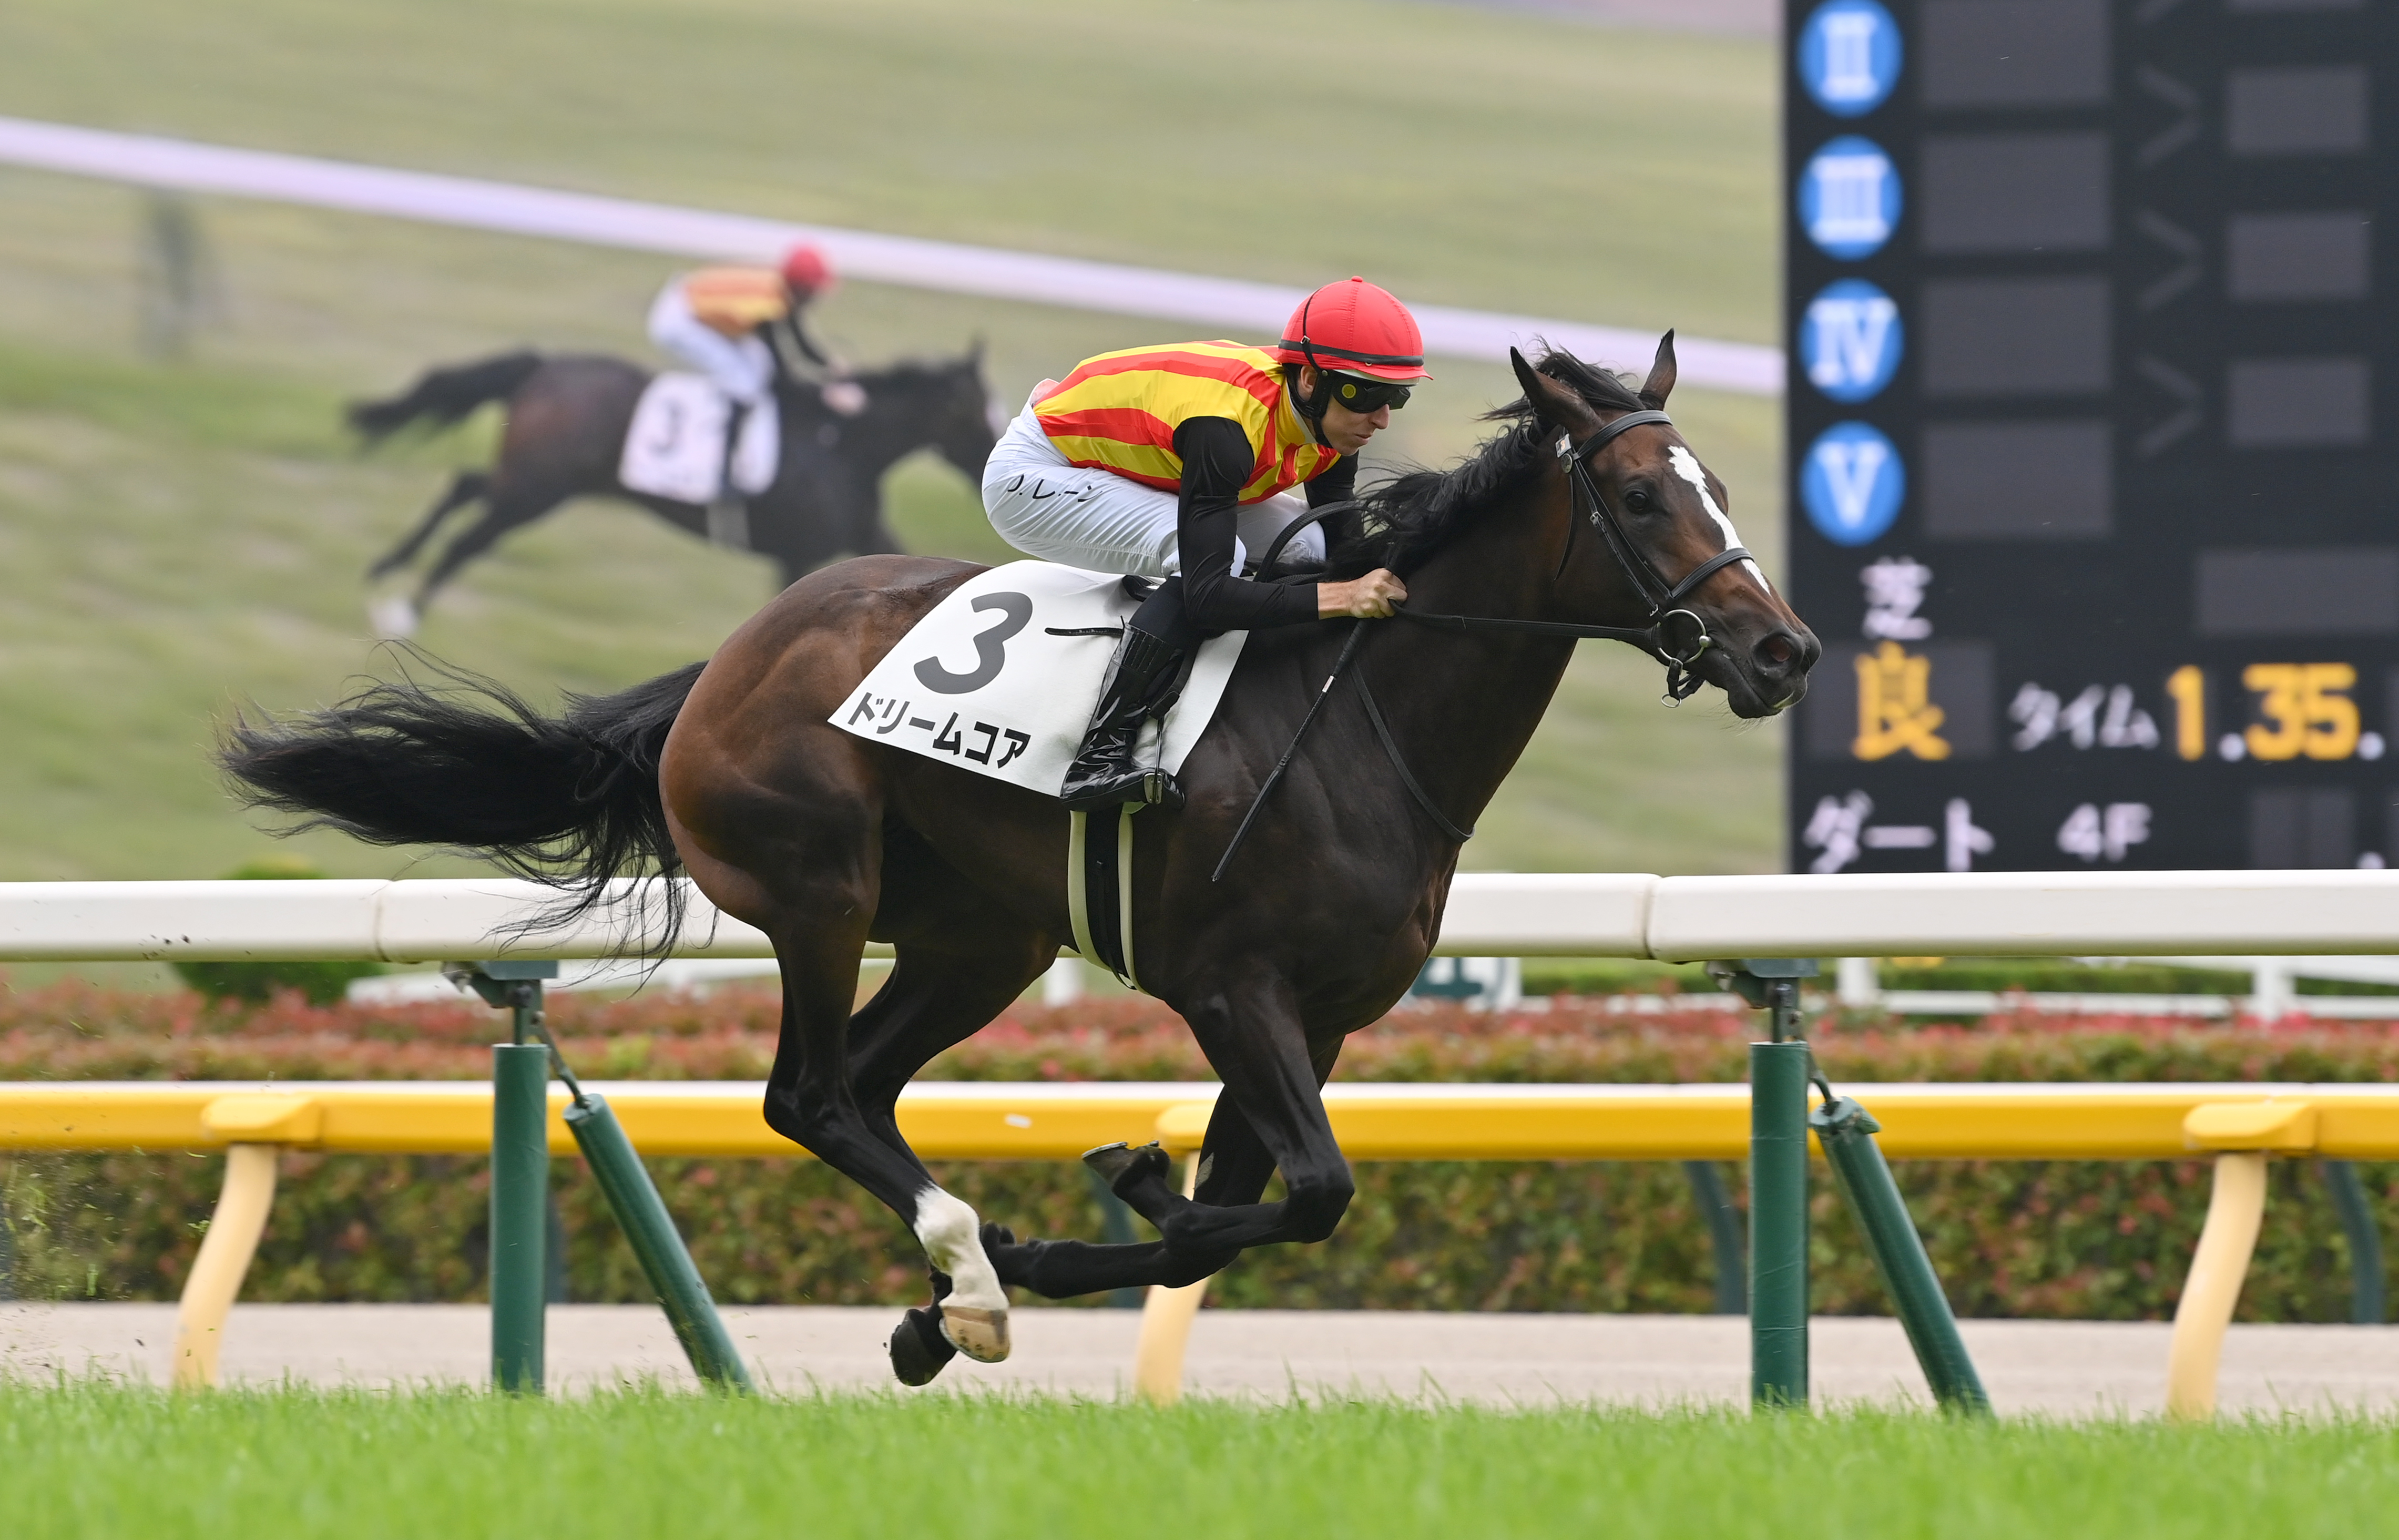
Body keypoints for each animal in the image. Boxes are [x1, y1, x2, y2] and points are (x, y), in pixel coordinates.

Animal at [348, 348, 998, 633]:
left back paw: (387, 567)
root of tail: (545, 364)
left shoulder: (865, 537)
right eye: (978, 412)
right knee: (468, 541)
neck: (842, 446)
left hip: (531, 480)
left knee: (464, 488)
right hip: (536, 491)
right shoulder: (799, 553)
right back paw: (405, 613)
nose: (992, 466)